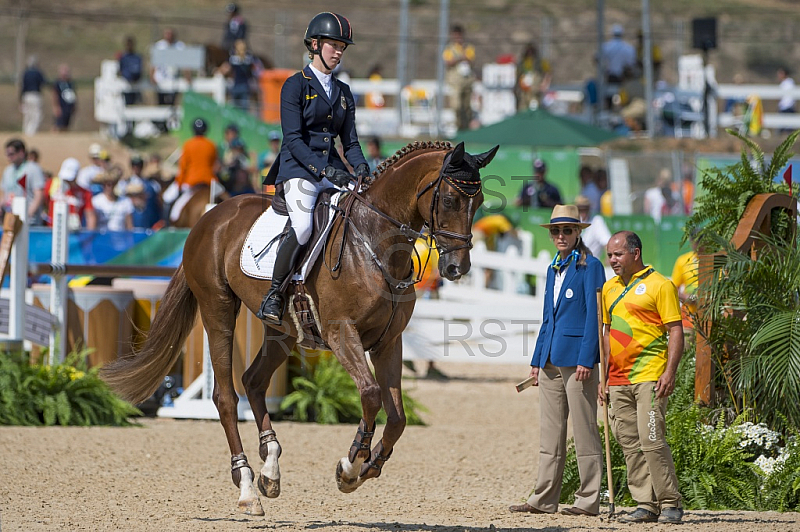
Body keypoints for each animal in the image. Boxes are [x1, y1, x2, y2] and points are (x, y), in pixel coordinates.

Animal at [101, 140, 494, 516]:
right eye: (449, 199)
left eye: (479, 202)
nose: (457, 268)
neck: (374, 244)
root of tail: (209, 218)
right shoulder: (341, 334)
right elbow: (370, 394)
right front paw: (351, 465)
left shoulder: (388, 342)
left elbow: (397, 417)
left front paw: (368, 467)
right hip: (218, 310)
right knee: (226, 396)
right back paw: (247, 487)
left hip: (283, 333)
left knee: (254, 381)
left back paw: (270, 469)